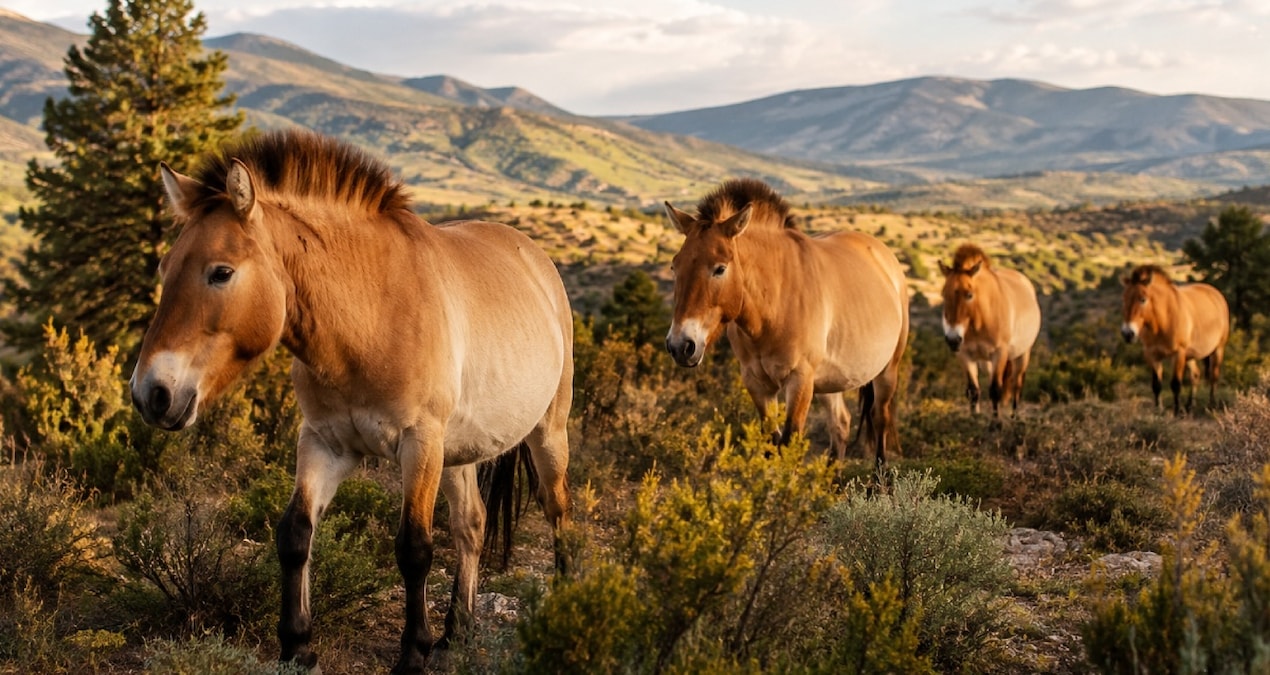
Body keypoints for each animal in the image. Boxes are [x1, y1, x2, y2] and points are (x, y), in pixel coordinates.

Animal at [129, 130, 573, 674]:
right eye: (164, 267)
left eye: (221, 272)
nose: (152, 394)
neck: (370, 315)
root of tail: (534, 256)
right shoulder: (324, 443)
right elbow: (295, 533)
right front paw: (297, 646)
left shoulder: (419, 444)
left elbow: (414, 548)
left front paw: (412, 653)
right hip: (458, 452)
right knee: (471, 524)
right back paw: (458, 633)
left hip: (547, 432)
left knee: (557, 512)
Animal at [664, 178, 909, 466]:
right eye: (674, 266)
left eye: (720, 268)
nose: (681, 346)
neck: (774, 306)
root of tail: (884, 256)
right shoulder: (757, 384)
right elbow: (771, 442)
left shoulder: (800, 380)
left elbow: (790, 442)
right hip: (830, 382)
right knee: (840, 424)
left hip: (887, 372)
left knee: (880, 419)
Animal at [937, 244, 1041, 416]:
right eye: (943, 295)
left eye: (969, 294)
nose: (953, 339)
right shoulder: (965, 355)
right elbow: (973, 391)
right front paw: (974, 418)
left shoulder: (999, 354)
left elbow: (995, 390)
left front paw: (995, 422)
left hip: (1022, 354)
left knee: (1017, 385)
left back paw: (1014, 417)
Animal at [1120, 264, 1229, 415]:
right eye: (1123, 299)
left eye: (1142, 299)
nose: (1128, 333)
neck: (1162, 321)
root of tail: (1215, 294)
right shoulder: (1152, 355)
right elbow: (1156, 385)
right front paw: (1158, 410)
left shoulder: (1178, 354)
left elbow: (1176, 384)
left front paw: (1177, 411)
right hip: (1190, 356)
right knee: (1195, 375)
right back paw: (1190, 406)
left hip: (1218, 349)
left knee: (1214, 376)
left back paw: (1211, 405)